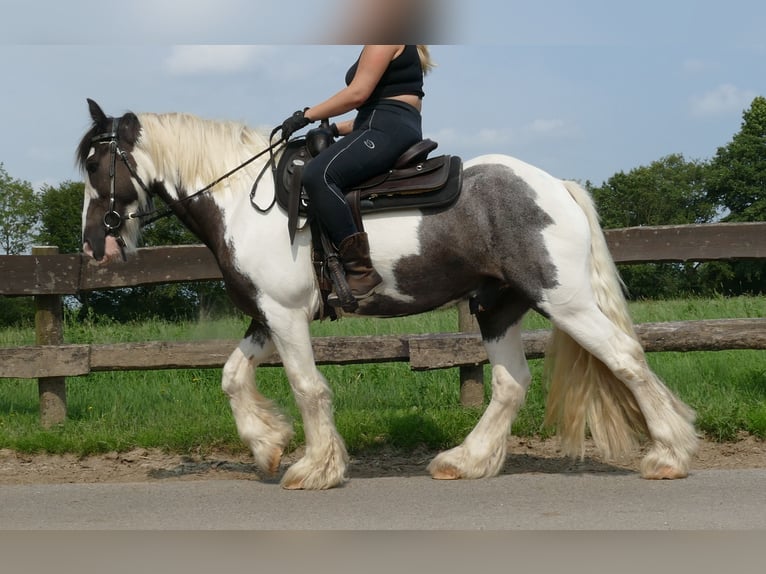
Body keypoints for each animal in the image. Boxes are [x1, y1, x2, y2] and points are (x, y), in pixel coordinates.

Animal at [79, 99, 704, 490]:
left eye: (96, 162)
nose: (92, 243)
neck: (245, 203)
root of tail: (556, 186)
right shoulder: (267, 316)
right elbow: (232, 376)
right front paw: (267, 444)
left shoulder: (286, 316)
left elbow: (308, 389)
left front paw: (314, 469)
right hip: (497, 307)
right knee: (510, 383)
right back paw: (466, 461)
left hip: (564, 301)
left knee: (625, 358)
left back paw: (668, 455)